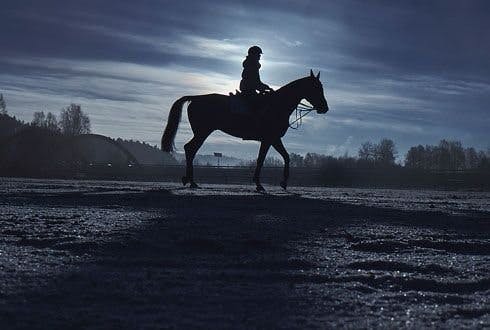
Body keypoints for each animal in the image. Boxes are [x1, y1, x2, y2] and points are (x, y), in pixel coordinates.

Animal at [162, 69, 330, 191]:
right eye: (316, 88)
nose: (325, 108)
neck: (277, 105)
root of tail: (195, 98)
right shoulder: (270, 139)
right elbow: (263, 160)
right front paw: (260, 184)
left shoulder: (272, 139)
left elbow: (284, 157)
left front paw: (281, 182)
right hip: (203, 132)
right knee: (190, 149)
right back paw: (190, 181)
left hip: (201, 132)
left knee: (190, 149)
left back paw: (189, 180)